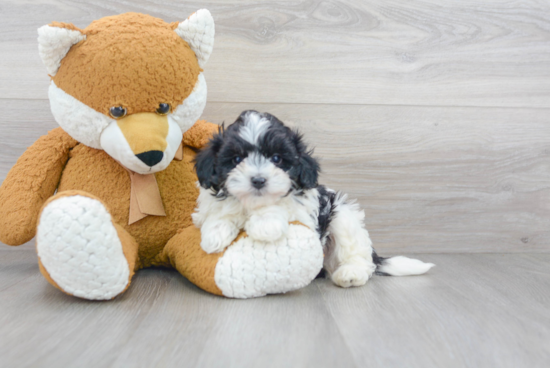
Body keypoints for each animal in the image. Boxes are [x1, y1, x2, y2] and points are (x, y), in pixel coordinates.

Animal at [194, 110, 436, 288]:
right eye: (236, 159)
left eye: (276, 158)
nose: (258, 180)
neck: (254, 204)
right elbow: (219, 210)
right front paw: (215, 233)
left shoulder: (306, 209)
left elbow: (282, 206)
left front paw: (265, 223)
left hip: (342, 216)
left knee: (357, 254)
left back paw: (351, 273)